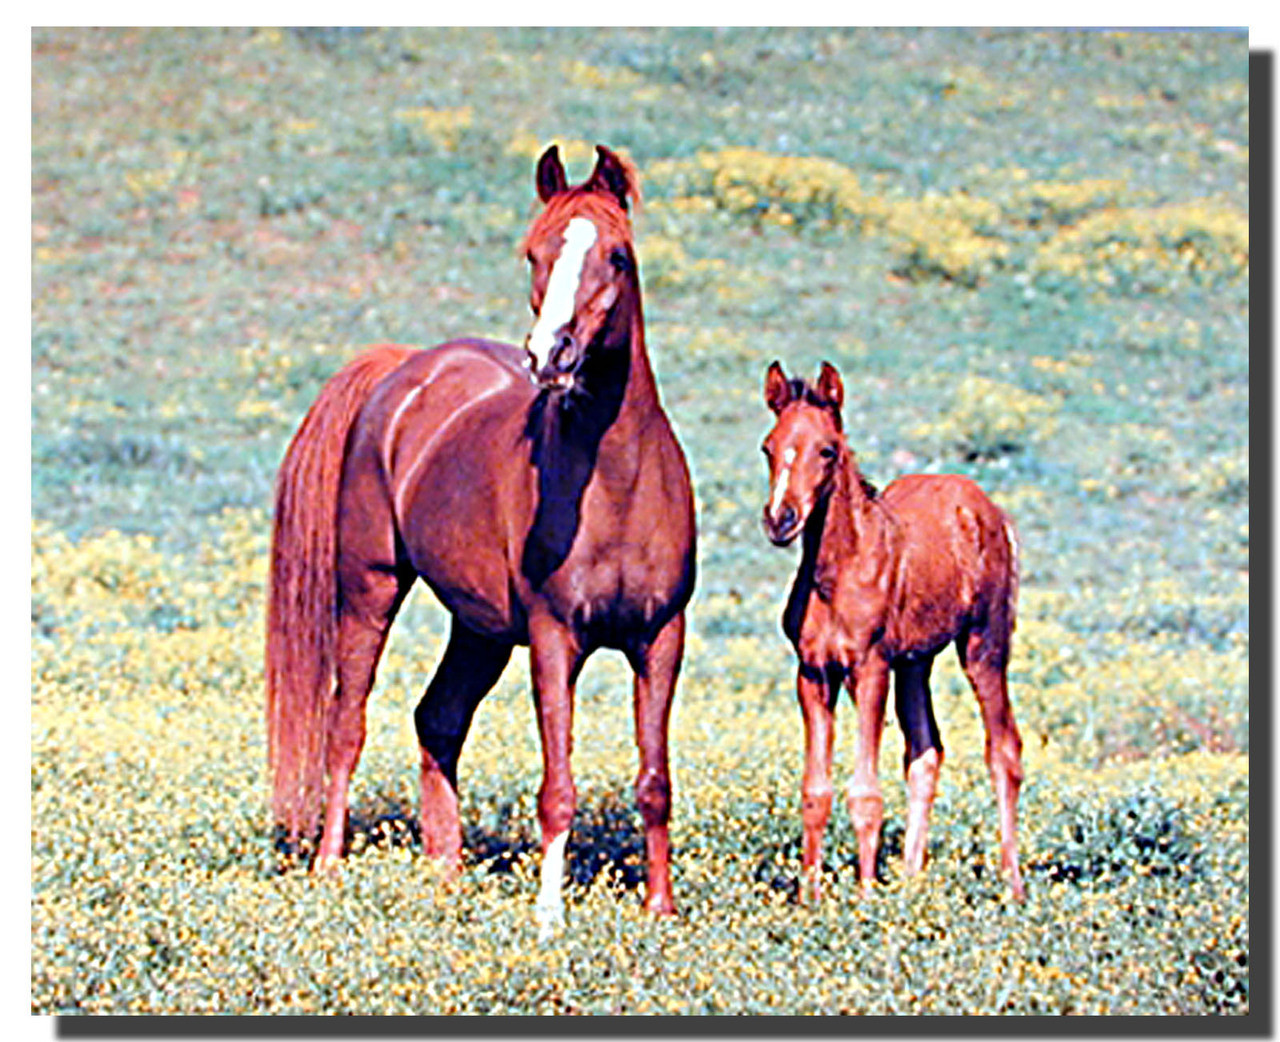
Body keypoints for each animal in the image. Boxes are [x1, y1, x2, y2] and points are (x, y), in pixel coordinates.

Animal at [266, 145, 697, 933]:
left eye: (617, 255)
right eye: (533, 252)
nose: (551, 355)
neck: (616, 484)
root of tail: (404, 368)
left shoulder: (661, 637)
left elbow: (655, 780)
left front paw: (660, 908)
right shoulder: (556, 640)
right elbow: (558, 783)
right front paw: (549, 916)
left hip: (481, 628)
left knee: (438, 719)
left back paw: (447, 877)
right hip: (369, 590)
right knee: (347, 725)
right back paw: (330, 867)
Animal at [760, 360, 1025, 901]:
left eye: (827, 450)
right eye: (768, 447)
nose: (780, 519)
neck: (837, 575)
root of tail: (992, 512)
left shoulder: (870, 668)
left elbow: (865, 793)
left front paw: (864, 900)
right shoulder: (813, 673)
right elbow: (815, 790)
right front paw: (809, 900)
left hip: (983, 644)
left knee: (1005, 751)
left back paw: (1014, 891)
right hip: (916, 663)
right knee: (925, 754)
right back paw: (909, 885)